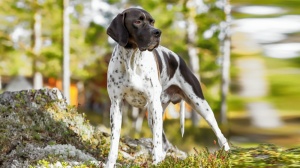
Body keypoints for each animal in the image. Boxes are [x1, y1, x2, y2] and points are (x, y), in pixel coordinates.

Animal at [105, 7, 230, 167]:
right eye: (137, 21)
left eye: (152, 22)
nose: (157, 32)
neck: (132, 59)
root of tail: (179, 58)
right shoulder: (116, 104)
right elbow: (114, 140)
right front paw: (110, 162)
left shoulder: (153, 103)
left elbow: (156, 141)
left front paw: (156, 161)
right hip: (153, 114)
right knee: (165, 143)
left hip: (200, 106)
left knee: (220, 135)